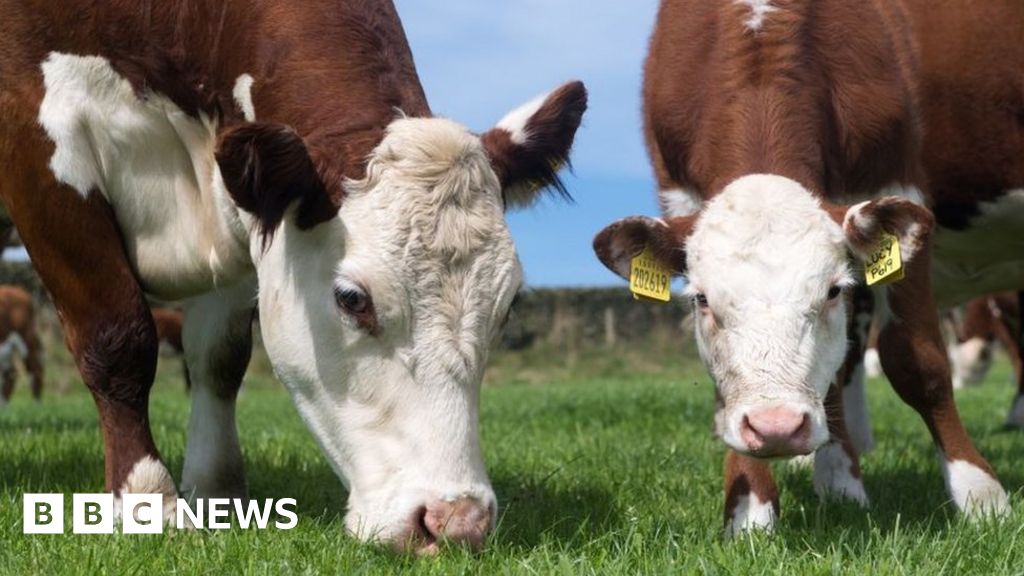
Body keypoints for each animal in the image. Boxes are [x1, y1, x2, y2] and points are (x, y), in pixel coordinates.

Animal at [0, 1, 587, 552]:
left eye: (508, 305)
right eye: (352, 299)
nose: (457, 522)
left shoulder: (242, 211)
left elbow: (219, 358)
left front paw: (216, 494)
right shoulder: (38, 146)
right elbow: (118, 338)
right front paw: (149, 500)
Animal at [594, 0, 1020, 535]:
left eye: (832, 291)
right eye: (701, 300)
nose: (776, 427)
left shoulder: (898, 180)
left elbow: (917, 362)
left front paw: (979, 494)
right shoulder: (679, 193)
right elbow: (729, 386)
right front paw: (751, 506)